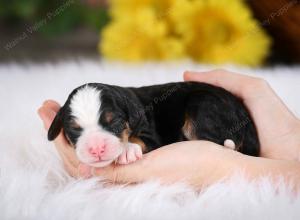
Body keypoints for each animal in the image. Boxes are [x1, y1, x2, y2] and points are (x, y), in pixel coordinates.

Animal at [48, 82, 258, 167]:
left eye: (115, 122)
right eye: (74, 130)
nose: (97, 148)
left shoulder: (152, 136)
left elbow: (139, 139)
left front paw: (126, 150)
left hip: (201, 103)